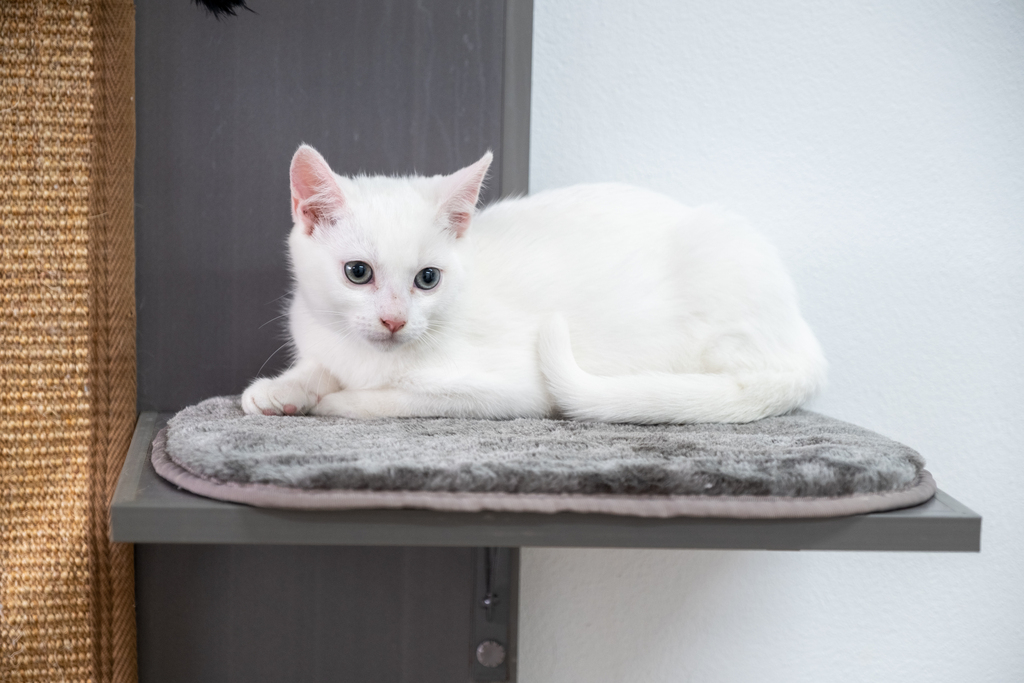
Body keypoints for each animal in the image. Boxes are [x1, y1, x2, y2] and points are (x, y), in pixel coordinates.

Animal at [241, 144, 826, 423]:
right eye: (357, 273)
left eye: (427, 279)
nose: (394, 320)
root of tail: (805, 346)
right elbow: (321, 365)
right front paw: (283, 389)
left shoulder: (511, 391)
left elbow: (393, 398)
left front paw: (334, 400)